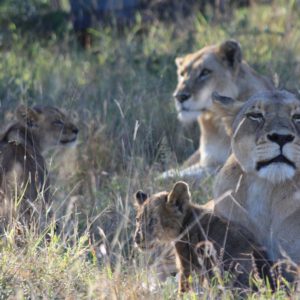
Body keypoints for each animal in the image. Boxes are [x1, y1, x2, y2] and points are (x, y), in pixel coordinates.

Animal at [134, 180, 272, 292]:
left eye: (153, 220)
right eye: (138, 219)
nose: (136, 238)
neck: (186, 221)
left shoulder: (187, 263)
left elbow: (184, 286)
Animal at [161, 39, 274, 180]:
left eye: (205, 72)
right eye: (182, 74)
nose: (179, 96)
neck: (216, 120)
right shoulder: (209, 159)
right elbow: (180, 171)